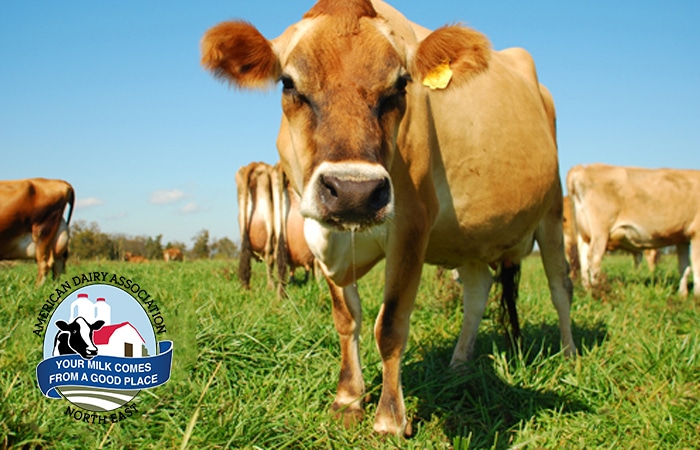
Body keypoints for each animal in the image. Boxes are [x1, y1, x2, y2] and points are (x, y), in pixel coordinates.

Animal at [201, 0, 576, 436]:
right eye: (289, 83)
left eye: (400, 85)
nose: (353, 191)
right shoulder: (319, 232)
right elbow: (347, 318)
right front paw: (348, 399)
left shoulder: (411, 225)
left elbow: (391, 324)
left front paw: (390, 419)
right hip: (468, 238)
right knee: (477, 292)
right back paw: (458, 365)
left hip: (552, 212)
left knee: (560, 286)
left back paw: (569, 356)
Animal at [568, 163, 696, 298]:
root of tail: (583, 168)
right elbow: (696, 266)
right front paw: (696, 296)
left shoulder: (682, 239)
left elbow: (684, 267)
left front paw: (683, 295)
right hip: (600, 231)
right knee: (594, 258)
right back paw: (598, 291)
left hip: (584, 234)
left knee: (583, 260)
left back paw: (587, 289)